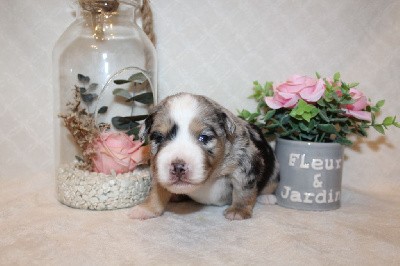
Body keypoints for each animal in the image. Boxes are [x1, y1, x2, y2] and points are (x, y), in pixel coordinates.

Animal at [128, 93, 278, 220]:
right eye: (159, 137)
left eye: (204, 137)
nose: (178, 167)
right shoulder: (157, 169)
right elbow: (156, 191)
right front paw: (146, 209)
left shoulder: (245, 163)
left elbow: (243, 190)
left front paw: (238, 211)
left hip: (275, 169)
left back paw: (267, 198)